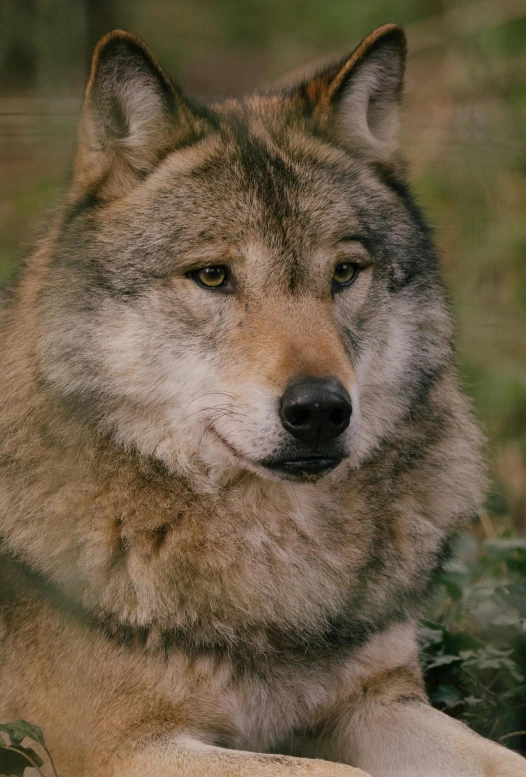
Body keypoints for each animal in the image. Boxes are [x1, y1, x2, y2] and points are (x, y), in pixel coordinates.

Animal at [1, 21, 526, 776]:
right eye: (213, 275)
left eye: (345, 272)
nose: (320, 410)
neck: (277, 560)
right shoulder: (120, 748)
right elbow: (340, 774)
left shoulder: (376, 702)